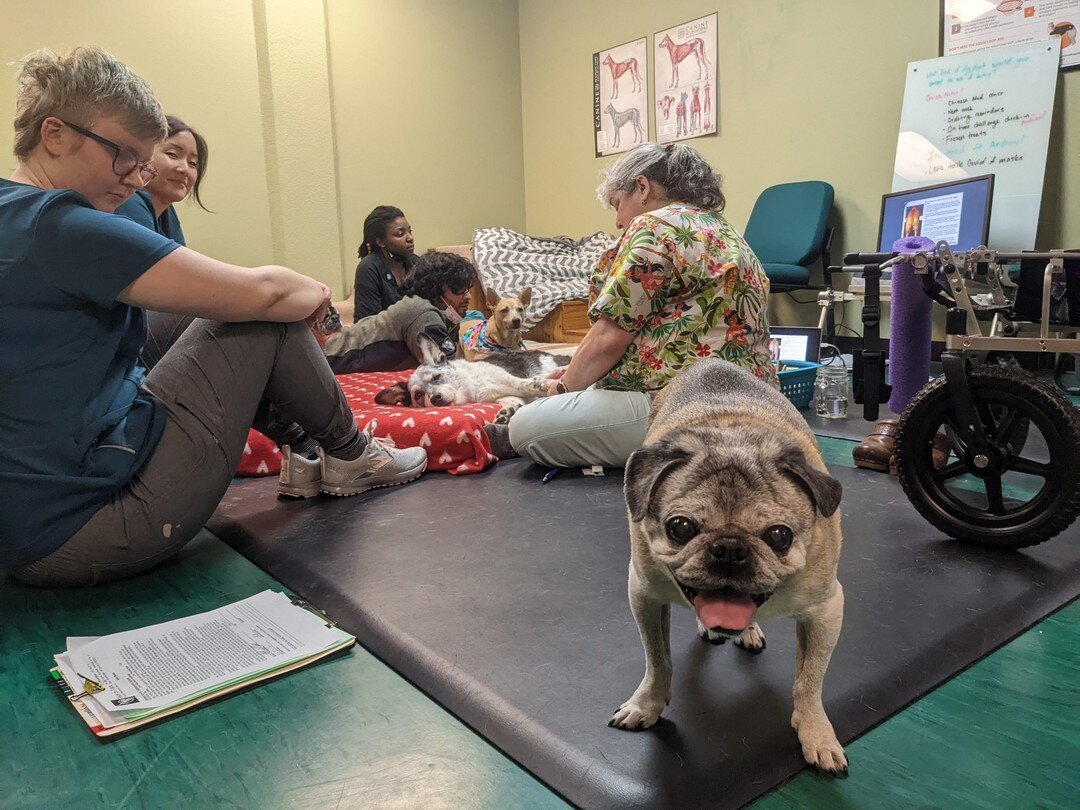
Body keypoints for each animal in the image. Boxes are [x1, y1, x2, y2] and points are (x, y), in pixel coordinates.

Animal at [613, 360, 846, 773]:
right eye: (680, 528)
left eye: (779, 536)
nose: (729, 549)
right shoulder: (644, 595)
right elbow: (657, 661)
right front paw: (647, 704)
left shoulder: (826, 613)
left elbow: (810, 680)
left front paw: (816, 732)